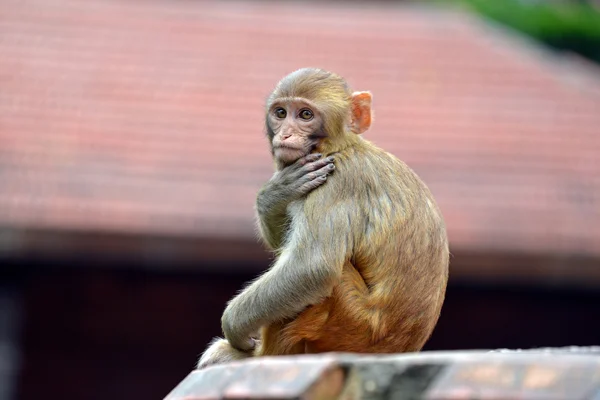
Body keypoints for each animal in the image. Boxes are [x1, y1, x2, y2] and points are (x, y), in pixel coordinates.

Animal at [198, 68, 450, 368]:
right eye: (281, 113)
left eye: (305, 115)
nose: (286, 134)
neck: (341, 146)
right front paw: (275, 194)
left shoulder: (337, 182)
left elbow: (311, 267)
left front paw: (234, 326)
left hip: (350, 327)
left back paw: (257, 357)